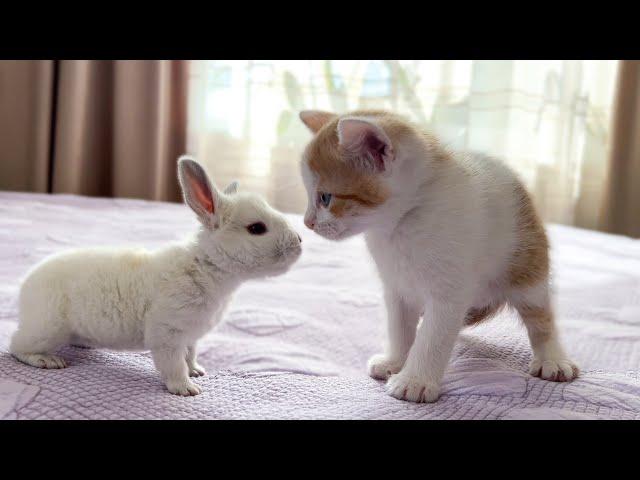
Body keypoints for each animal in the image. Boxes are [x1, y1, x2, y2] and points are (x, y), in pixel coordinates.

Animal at [9, 156, 300, 396]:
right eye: (257, 228)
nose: (299, 242)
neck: (206, 266)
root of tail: (25, 286)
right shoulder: (167, 334)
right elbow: (174, 365)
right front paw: (187, 389)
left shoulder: (190, 337)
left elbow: (190, 356)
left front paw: (197, 371)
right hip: (47, 329)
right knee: (16, 346)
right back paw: (47, 360)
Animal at [300, 110, 580, 404]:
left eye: (325, 197)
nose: (307, 222)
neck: (401, 224)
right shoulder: (397, 288)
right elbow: (399, 328)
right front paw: (395, 361)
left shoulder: (449, 292)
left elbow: (433, 336)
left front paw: (414, 380)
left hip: (527, 264)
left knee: (540, 316)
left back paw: (552, 359)